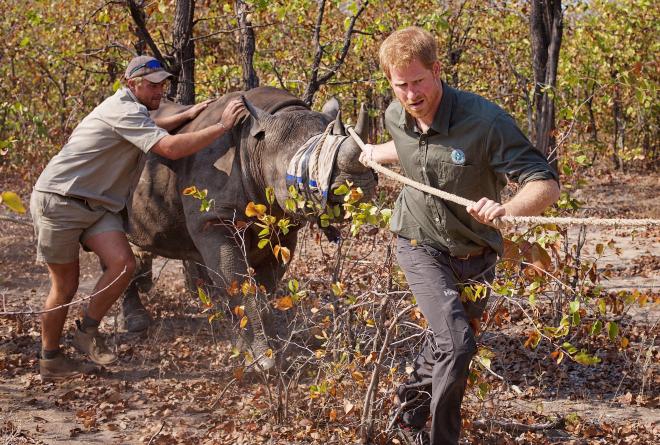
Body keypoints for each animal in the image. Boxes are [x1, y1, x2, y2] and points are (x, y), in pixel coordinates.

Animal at [121, 86, 374, 368]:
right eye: (301, 170)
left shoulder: (282, 226)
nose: (358, 187)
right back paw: (136, 322)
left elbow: (262, 286)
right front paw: (264, 363)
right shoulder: (214, 220)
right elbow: (241, 283)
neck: (257, 147)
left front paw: (248, 349)